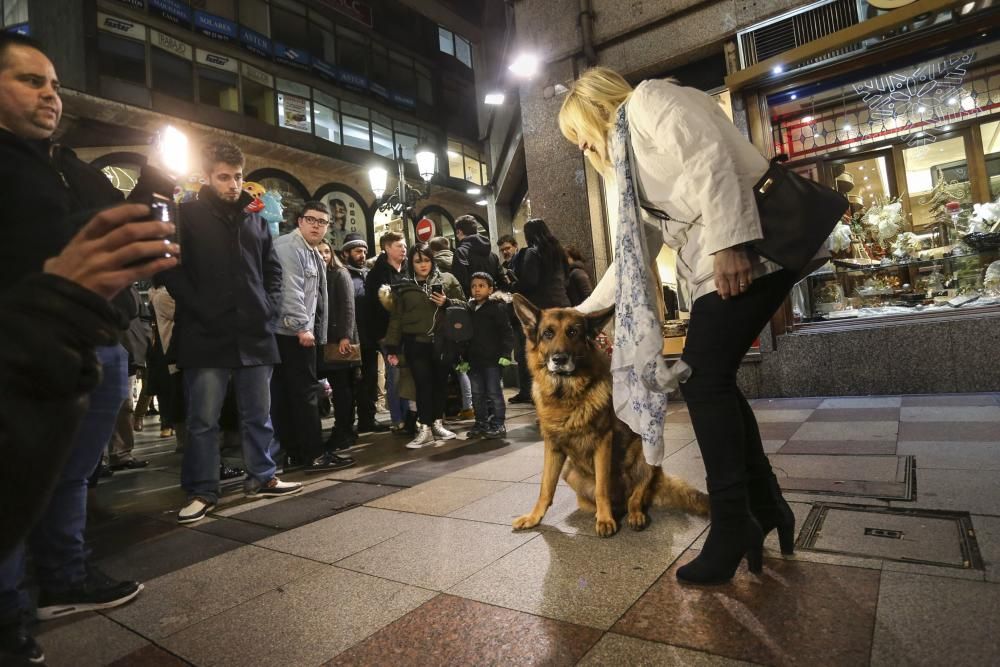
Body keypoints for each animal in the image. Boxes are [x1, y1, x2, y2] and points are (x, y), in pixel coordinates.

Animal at [512, 296, 708, 536]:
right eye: (547, 334)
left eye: (573, 332)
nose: (559, 359)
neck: (566, 396)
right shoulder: (553, 447)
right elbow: (545, 488)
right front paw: (534, 517)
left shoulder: (603, 442)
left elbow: (601, 487)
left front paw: (605, 519)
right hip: (570, 472)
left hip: (647, 456)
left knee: (636, 497)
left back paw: (634, 515)